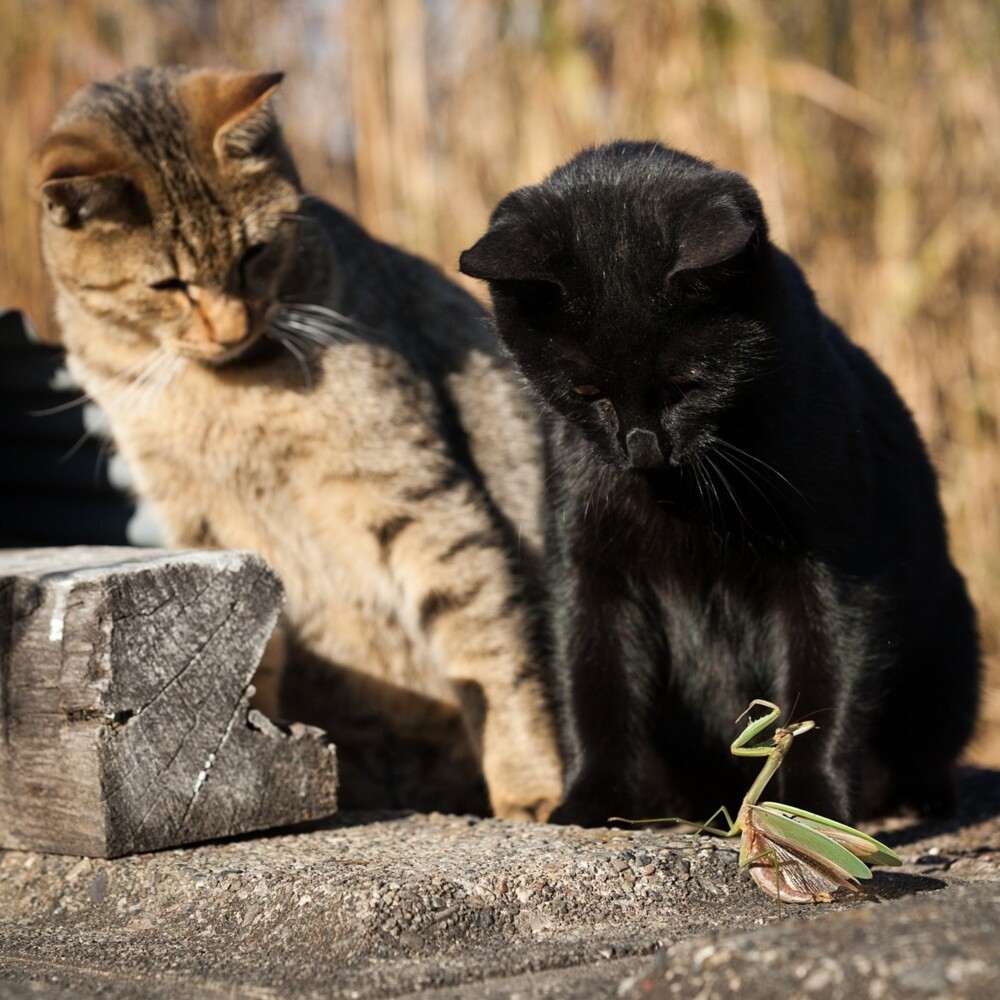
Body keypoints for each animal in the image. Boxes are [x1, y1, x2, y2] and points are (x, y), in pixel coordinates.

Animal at [35, 68, 564, 820]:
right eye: (167, 284)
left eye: (255, 252)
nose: (231, 327)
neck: (218, 391)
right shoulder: (201, 522)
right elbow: (256, 648)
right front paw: (244, 746)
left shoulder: (417, 491)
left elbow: (490, 651)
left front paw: (531, 784)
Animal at [458, 143, 976, 828]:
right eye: (585, 391)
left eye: (686, 383)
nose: (641, 446)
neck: (686, 500)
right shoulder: (588, 568)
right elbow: (593, 692)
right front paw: (589, 803)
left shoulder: (838, 572)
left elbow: (824, 693)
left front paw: (815, 809)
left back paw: (914, 801)